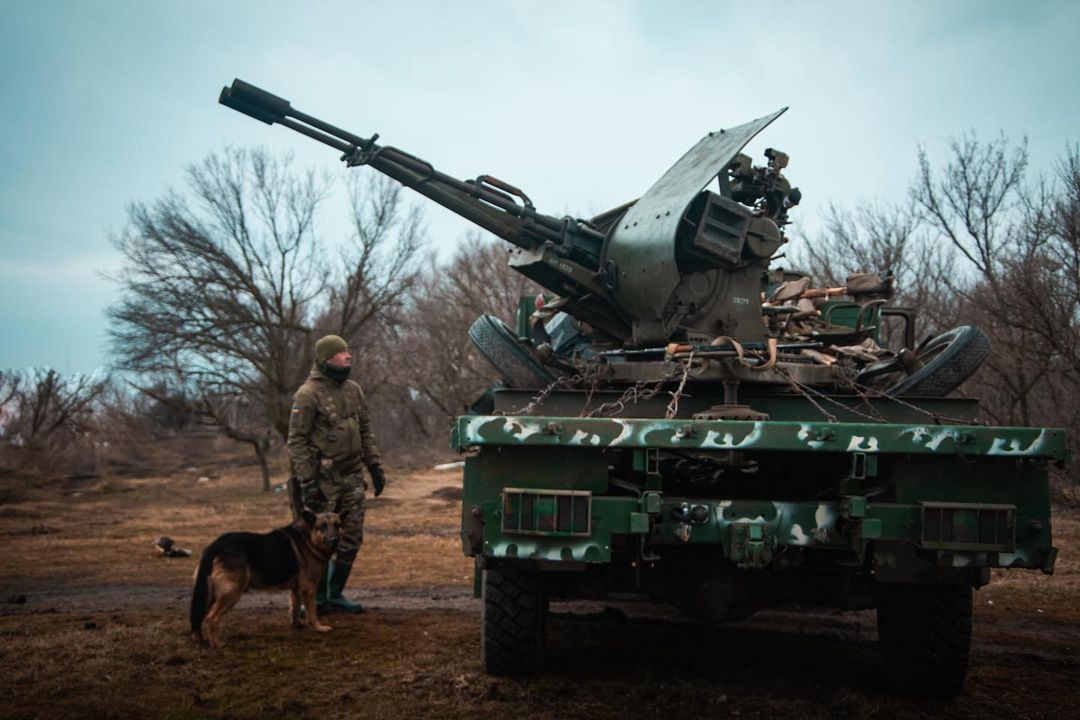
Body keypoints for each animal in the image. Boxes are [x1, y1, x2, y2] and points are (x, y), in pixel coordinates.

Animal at [187, 509, 341, 651]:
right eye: (323, 527)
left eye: (337, 525)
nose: (335, 540)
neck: (308, 537)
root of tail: (214, 546)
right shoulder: (309, 589)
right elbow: (313, 612)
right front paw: (319, 628)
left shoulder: (296, 589)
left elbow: (295, 609)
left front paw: (296, 626)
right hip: (231, 593)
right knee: (211, 618)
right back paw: (217, 644)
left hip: (209, 594)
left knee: (198, 616)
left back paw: (199, 639)